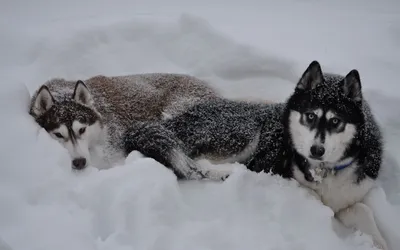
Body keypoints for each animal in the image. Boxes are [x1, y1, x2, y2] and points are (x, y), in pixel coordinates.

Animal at [126, 61, 396, 249]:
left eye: (336, 121)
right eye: (310, 116)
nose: (316, 150)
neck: (326, 170)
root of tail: (175, 120)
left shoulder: (354, 192)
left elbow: (363, 210)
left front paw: (379, 243)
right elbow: (316, 200)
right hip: (246, 131)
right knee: (196, 162)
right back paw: (226, 173)